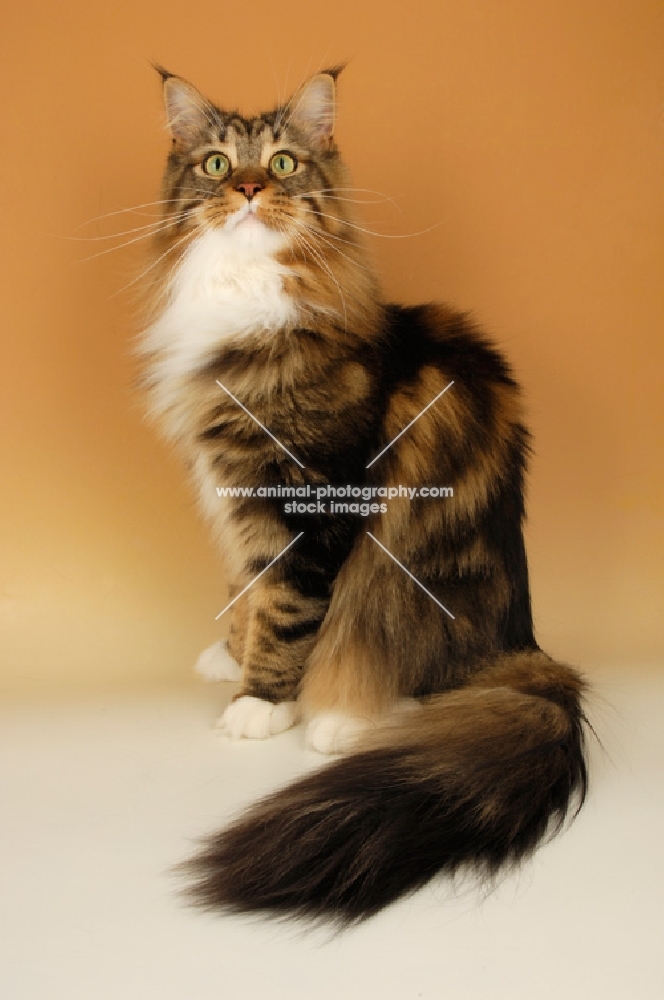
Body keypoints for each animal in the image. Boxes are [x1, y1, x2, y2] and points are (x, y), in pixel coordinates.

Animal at [139, 62, 588, 920]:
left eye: (282, 162)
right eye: (217, 163)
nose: (248, 187)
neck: (248, 295)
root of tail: (524, 646)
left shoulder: (311, 502)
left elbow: (287, 607)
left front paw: (261, 704)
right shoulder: (238, 499)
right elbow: (247, 588)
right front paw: (230, 656)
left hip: (409, 579)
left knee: (416, 678)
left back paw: (343, 721)